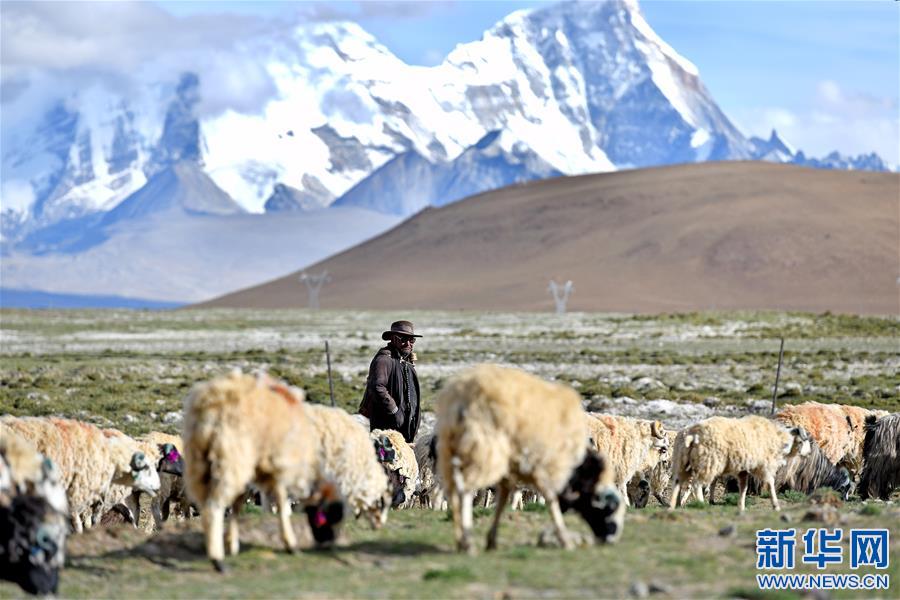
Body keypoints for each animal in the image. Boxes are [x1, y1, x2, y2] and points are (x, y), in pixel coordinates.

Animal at [438, 360, 624, 552]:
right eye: (611, 509)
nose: (610, 539)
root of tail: (461, 398)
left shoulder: (513, 470)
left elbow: (504, 499)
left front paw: (492, 539)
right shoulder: (545, 466)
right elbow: (550, 499)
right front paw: (564, 539)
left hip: (449, 448)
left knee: (453, 491)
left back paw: (460, 538)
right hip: (485, 449)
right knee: (465, 490)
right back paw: (467, 541)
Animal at [668, 418, 808, 510]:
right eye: (801, 441)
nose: (808, 454)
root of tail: (690, 434)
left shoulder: (744, 470)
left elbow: (743, 487)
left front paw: (741, 506)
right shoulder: (764, 465)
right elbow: (770, 483)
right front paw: (775, 505)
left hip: (682, 462)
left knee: (677, 483)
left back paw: (674, 505)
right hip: (709, 461)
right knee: (696, 484)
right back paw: (701, 504)